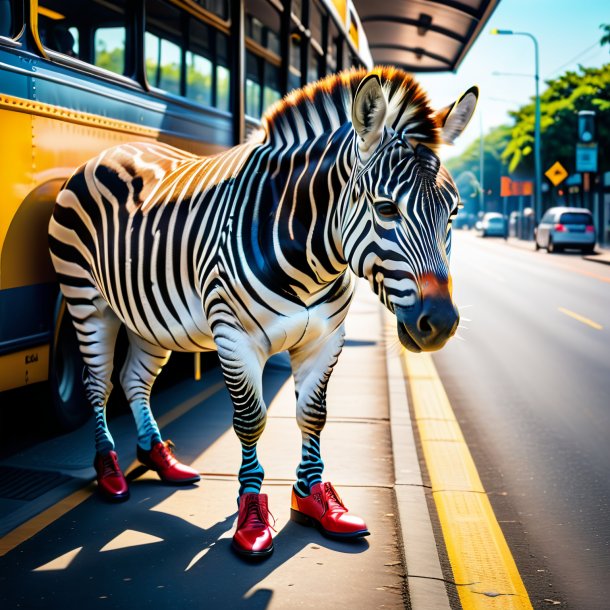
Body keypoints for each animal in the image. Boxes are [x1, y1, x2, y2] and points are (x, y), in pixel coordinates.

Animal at [47, 66, 476, 556]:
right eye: (386, 209)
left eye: (453, 213)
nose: (440, 324)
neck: (311, 256)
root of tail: (111, 150)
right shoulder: (234, 337)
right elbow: (251, 421)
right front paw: (250, 521)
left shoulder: (327, 338)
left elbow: (313, 416)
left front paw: (317, 500)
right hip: (86, 299)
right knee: (97, 383)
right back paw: (111, 473)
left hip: (147, 315)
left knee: (134, 379)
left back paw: (162, 460)